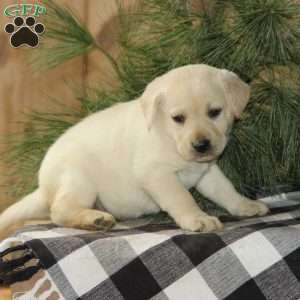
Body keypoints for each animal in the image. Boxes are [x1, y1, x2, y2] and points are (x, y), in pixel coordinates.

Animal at [0, 64, 268, 236]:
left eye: (214, 112)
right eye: (178, 118)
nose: (201, 145)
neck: (168, 136)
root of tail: (44, 187)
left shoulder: (207, 171)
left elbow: (226, 190)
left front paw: (245, 205)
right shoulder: (157, 175)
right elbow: (182, 198)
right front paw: (198, 218)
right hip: (79, 180)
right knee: (59, 211)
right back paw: (94, 220)